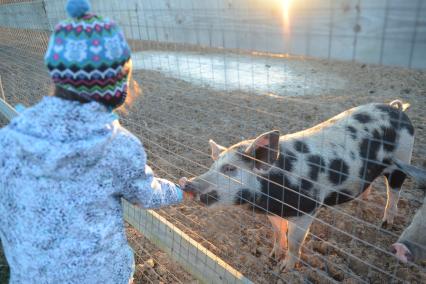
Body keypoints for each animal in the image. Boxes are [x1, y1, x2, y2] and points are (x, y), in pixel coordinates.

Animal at [181, 100, 414, 270]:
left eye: (230, 169)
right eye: (212, 165)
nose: (187, 183)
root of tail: (396, 109)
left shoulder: (307, 208)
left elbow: (294, 241)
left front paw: (285, 268)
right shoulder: (274, 212)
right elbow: (278, 233)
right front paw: (273, 256)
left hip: (403, 159)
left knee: (394, 193)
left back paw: (385, 224)